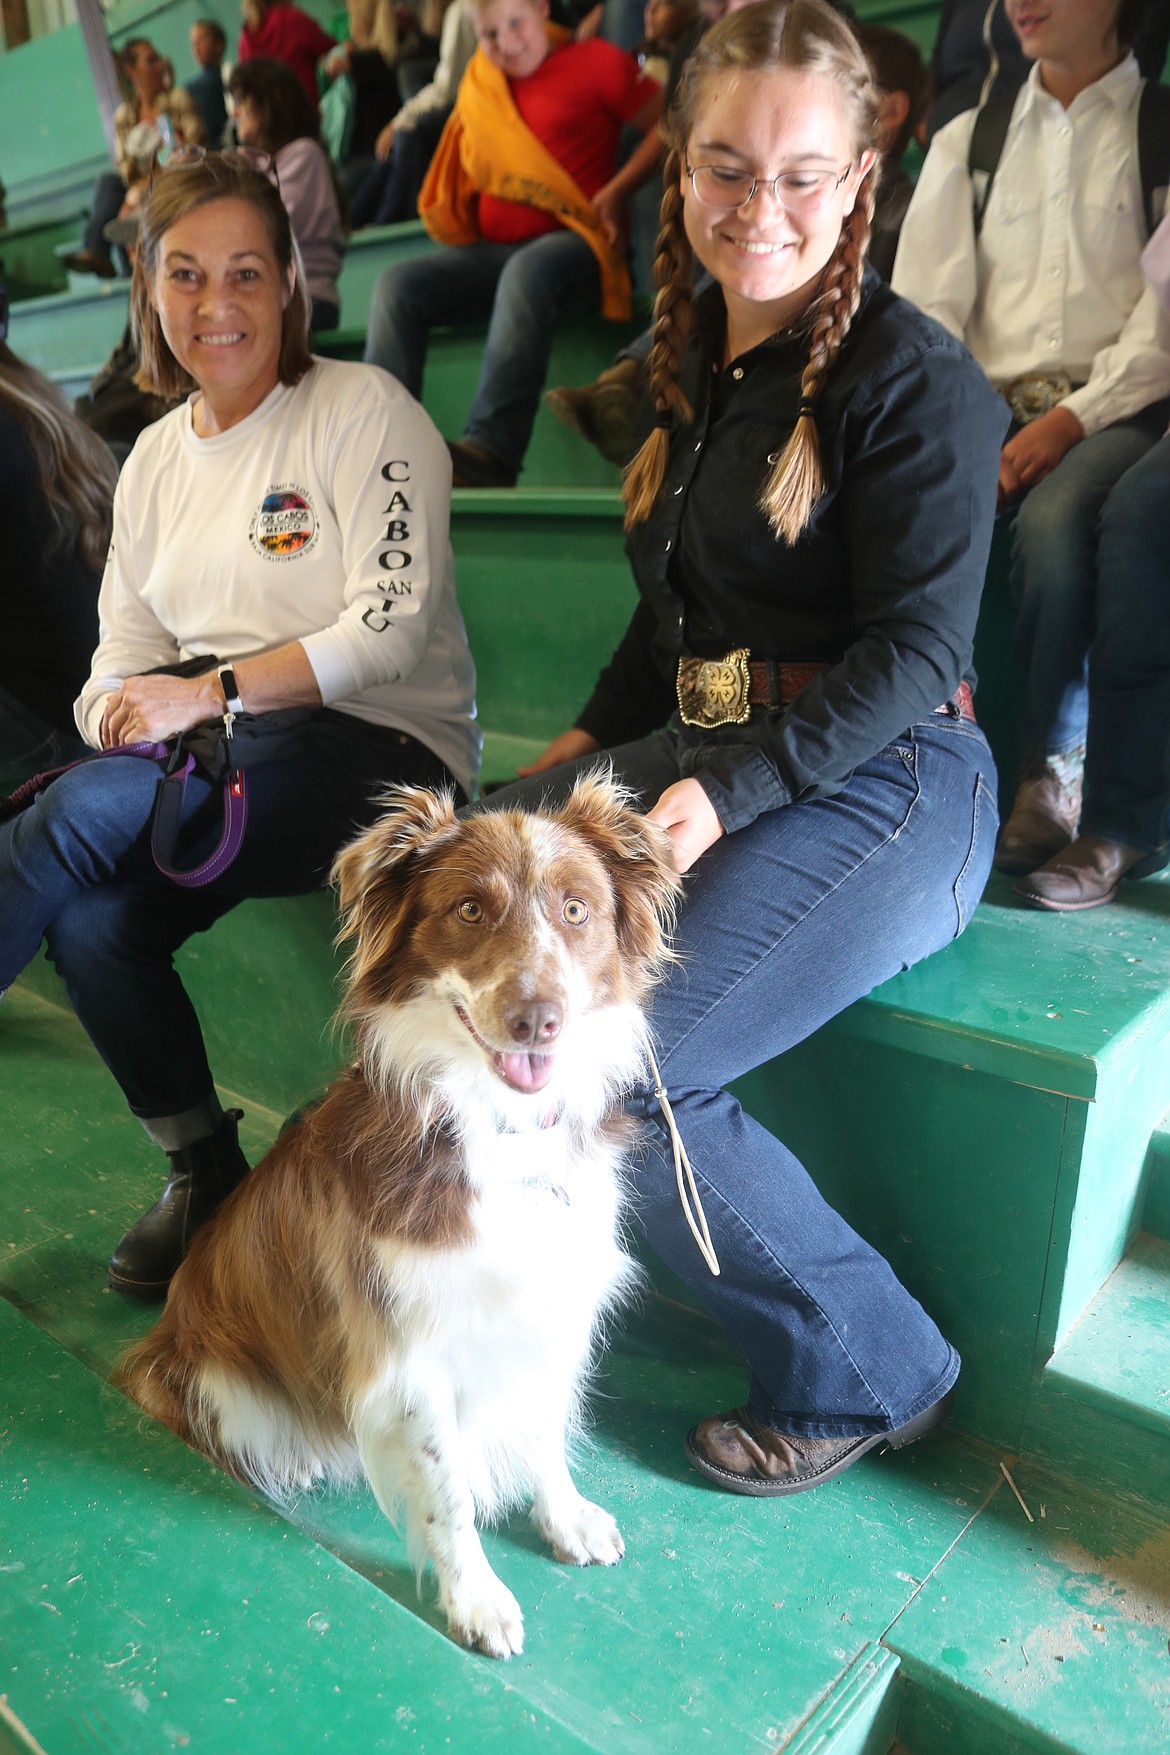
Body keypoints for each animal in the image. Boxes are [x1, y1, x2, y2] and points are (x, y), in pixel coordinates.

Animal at [114, 779, 680, 1656]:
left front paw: (564, 1518)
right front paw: (477, 1599)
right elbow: (447, 1492)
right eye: (470, 909)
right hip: (212, 1371)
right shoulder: (407, 1348)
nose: (537, 1017)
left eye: (576, 909)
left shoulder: (550, 1301)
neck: (497, 1131)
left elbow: (545, 1424)